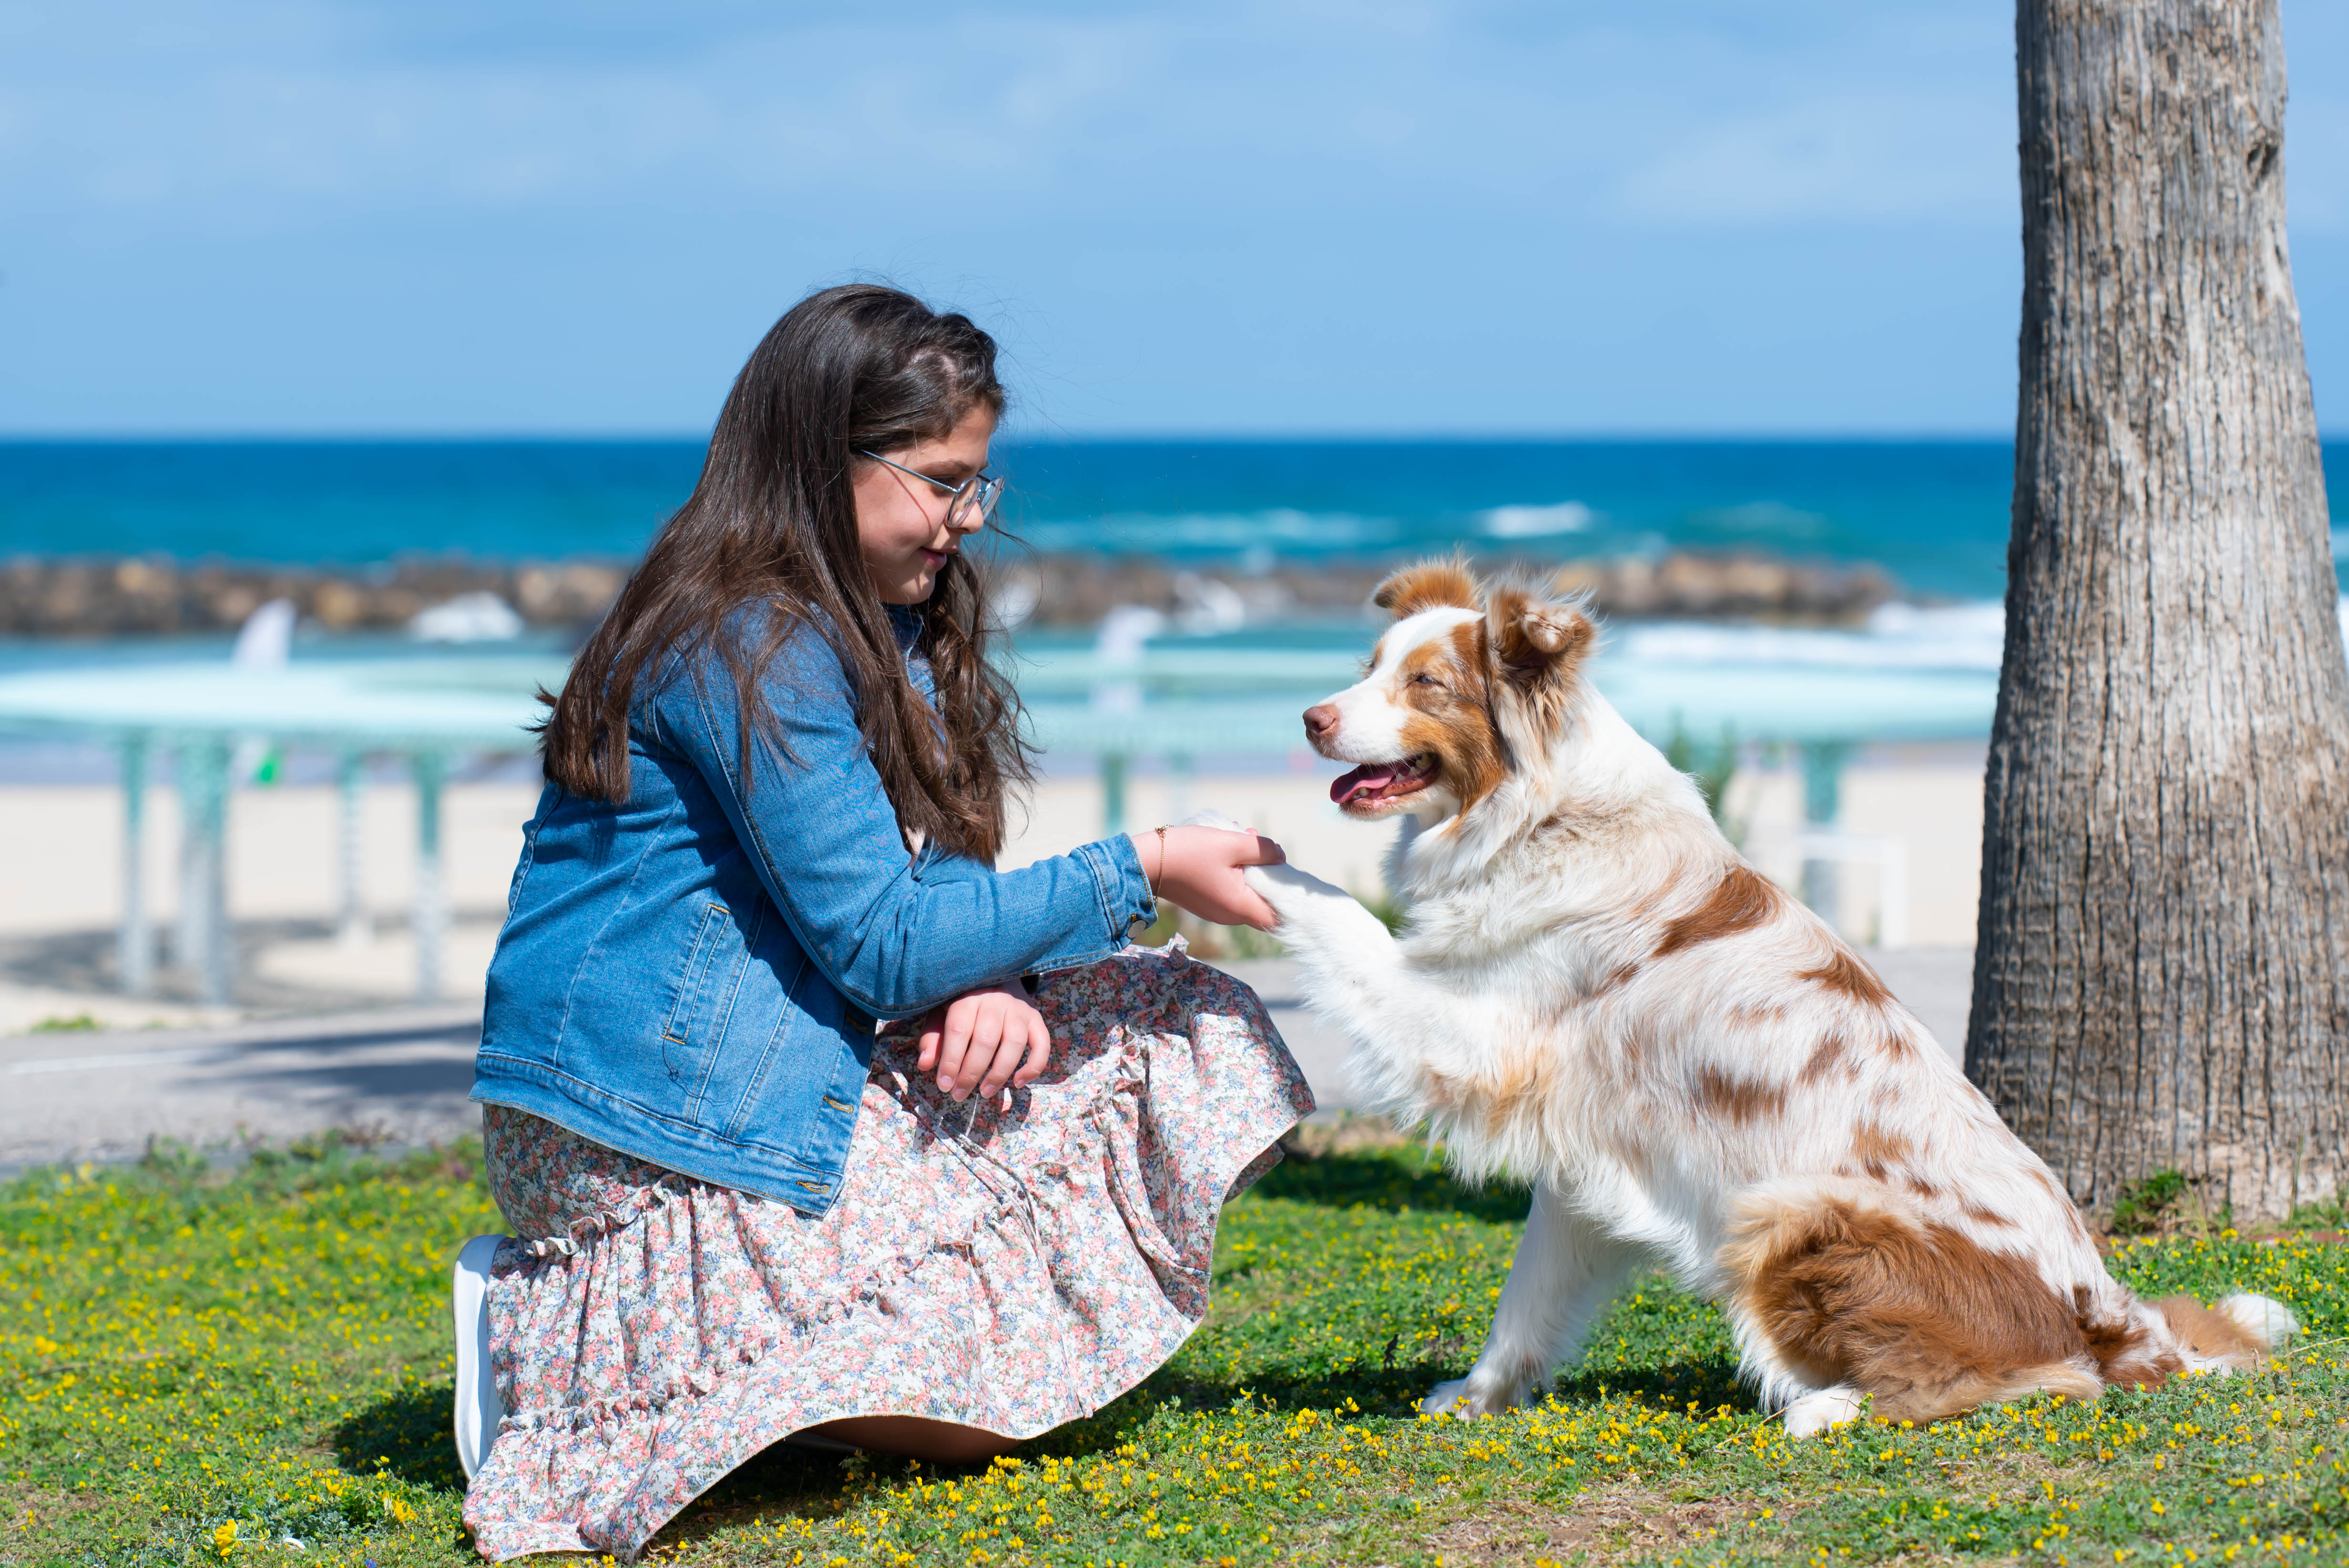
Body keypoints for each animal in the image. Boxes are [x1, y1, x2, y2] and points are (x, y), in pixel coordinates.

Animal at [1249, 561, 2292, 1436]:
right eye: (1369, 667)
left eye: (1426, 684)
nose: (1306, 718)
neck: (1541, 818)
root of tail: (2112, 1317)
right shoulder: (1584, 1155)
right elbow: (1528, 1296)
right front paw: (1479, 1395)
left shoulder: (1480, 1038)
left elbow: (1348, 922)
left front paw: (1257, 860)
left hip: (1785, 1214)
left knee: (2025, 1378)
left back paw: (1824, 1406)